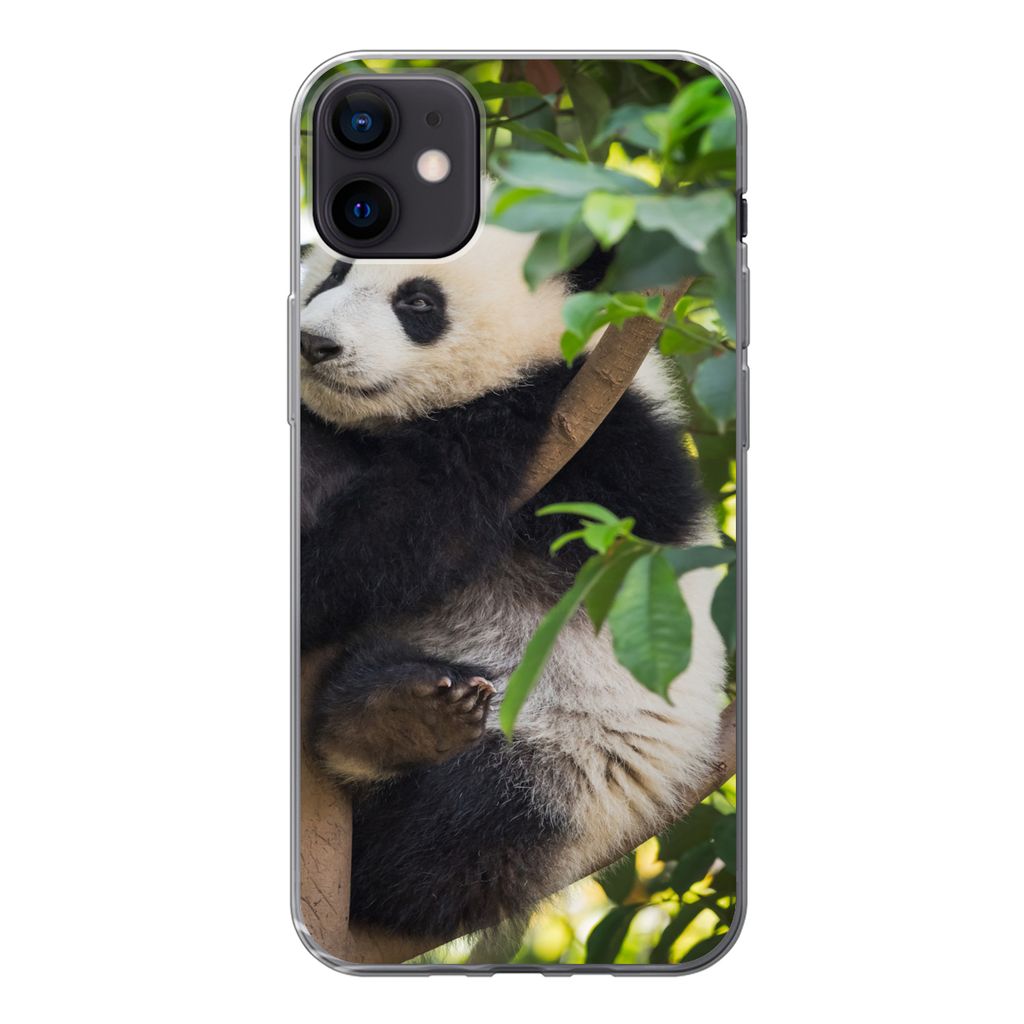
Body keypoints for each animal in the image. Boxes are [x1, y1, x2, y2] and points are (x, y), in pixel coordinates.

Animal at [298, 219, 727, 942]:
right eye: (333, 273)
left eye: (419, 303)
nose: (314, 343)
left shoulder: (575, 433)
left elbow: (411, 530)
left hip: (570, 767)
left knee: (446, 838)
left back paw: (391, 725)